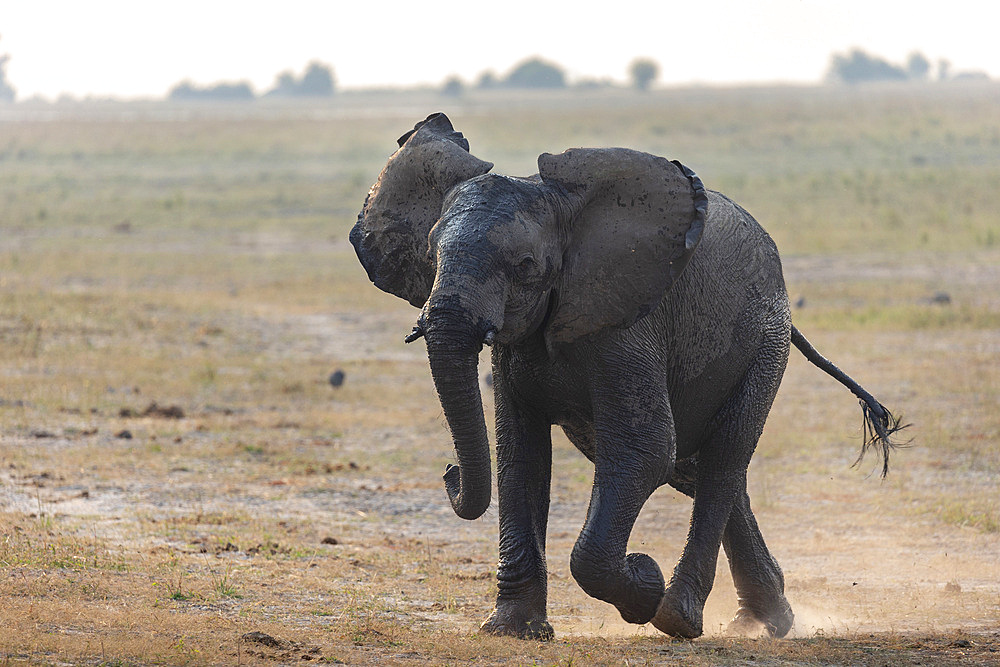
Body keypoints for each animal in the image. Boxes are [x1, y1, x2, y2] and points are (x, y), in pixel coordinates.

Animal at [348, 115, 904, 640]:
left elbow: (644, 448)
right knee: (696, 469)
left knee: (722, 459)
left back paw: (680, 618)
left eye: (525, 266)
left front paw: (644, 583)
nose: (448, 473)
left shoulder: (627, 327)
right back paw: (766, 621)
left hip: (764, 340)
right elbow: (520, 456)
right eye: (430, 254)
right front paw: (512, 631)